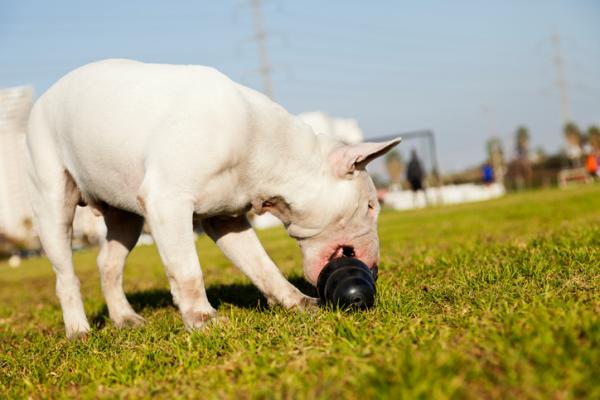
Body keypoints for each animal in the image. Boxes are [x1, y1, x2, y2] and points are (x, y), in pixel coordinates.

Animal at [25, 59, 400, 338]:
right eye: (370, 206)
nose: (375, 270)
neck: (266, 148)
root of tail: (45, 96)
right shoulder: (167, 202)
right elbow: (187, 269)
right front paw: (202, 319)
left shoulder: (227, 220)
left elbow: (262, 265)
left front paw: (297, 302)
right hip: (52, 202)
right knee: (66, 275)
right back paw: (78, 330)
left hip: (123, 214)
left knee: (108, 263)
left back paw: (124, 318)